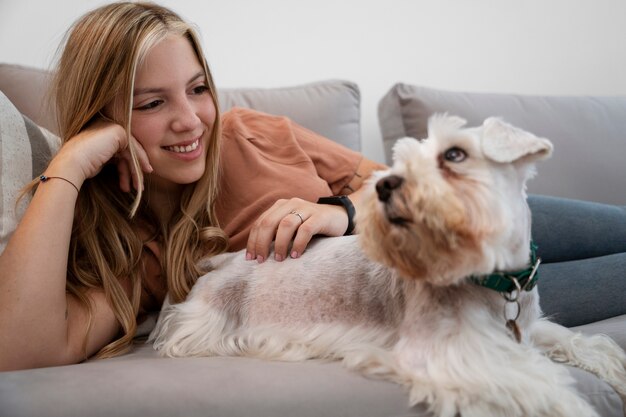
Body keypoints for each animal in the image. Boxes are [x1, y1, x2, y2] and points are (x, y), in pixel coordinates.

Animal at [150, 114, 624, 416]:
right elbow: (538, 385)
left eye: (455, 155)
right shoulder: (451, 356)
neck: (494, 277)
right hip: (205, 323)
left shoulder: (526, 329)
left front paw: (615, 371)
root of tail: (227, 258)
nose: (385, 184)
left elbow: (580, 343)